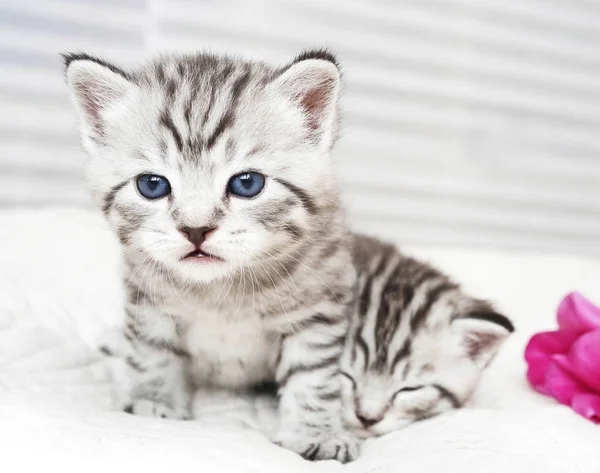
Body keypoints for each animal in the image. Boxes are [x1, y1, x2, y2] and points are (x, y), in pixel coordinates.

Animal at [64, 48, 360, 460]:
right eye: (152, 185)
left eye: (247, 183)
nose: (196, 229)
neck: (222, 291)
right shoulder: (148, 296)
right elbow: (153, 351)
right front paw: (153, 404)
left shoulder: (318, 304)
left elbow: (312, 374)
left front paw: (317, 433)